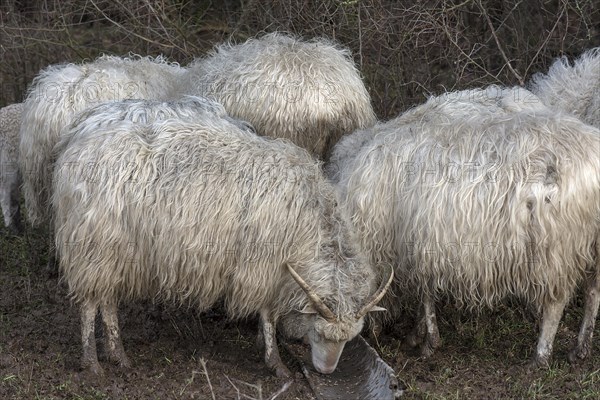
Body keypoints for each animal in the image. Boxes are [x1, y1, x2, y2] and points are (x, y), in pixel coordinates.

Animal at [52, 98, 394, 376]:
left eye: (349, 339)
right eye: (321, 334)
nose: (326, 371)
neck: (311, 220)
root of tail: (74, 149)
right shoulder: (263, 267)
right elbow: (268, 316)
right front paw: (275, 362)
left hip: (112, 252)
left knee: (107, 301)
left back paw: (118, 356)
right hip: (93, 245)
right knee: (89, 305)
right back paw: (92, 362)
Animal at [330, 86, 600, 368]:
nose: (370, 336)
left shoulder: (416, 244)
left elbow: (425, 294)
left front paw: (427, 341)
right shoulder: (422, 243)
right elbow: (425, 293)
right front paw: (418, 334)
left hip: (556, 247)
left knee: (556, 303)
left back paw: (541, 356)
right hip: (592, 242)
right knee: (594, 292)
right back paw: (581, 348)